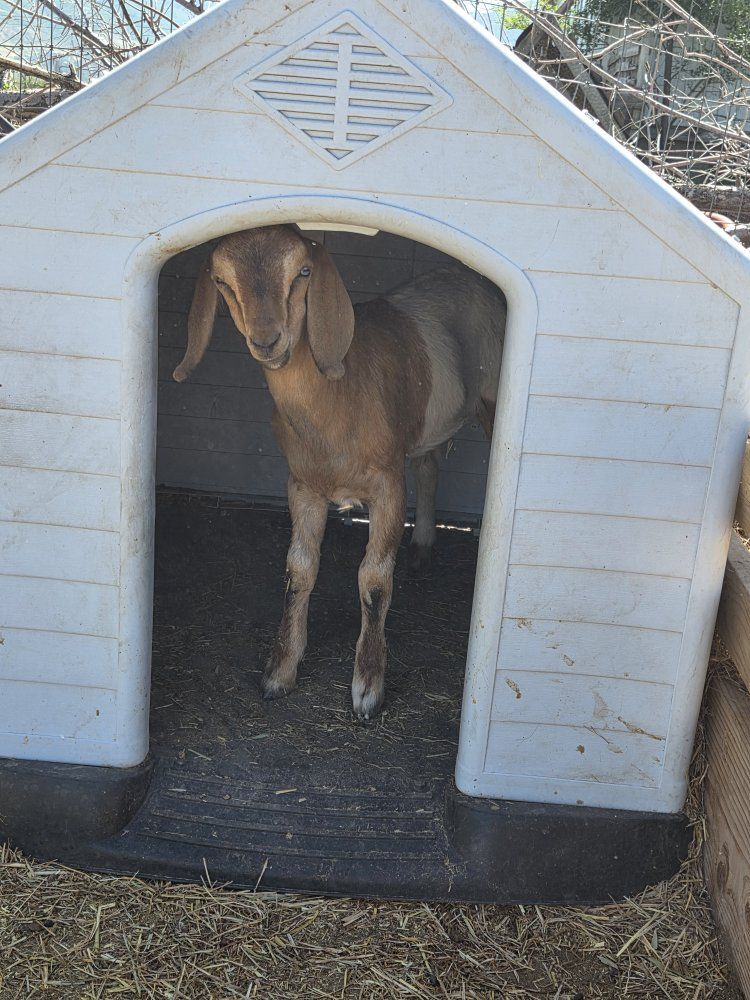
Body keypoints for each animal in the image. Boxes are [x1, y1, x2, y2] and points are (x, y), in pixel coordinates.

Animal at [173, 226, 506, 718]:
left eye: (303, 272)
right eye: (220, 281)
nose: (267, 340)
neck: (338, 399)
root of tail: (469, 276)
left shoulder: (388, 486)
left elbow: (373, 581)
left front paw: (367, 688)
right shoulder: (302, 486)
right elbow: (299, 571)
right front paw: (279, 672)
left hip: (490, 397)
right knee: (428, 466)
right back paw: (422, 547)